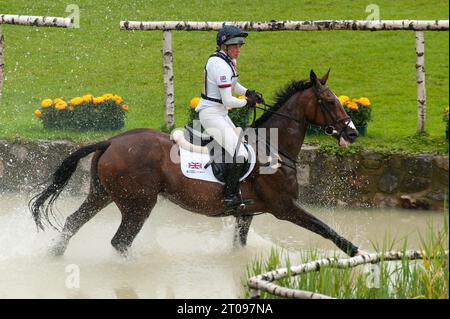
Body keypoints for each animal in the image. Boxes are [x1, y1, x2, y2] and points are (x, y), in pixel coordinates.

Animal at [28, 70, 364, 258]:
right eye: (330, 101)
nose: (352, 132)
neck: (274, 148)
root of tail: (111, 141)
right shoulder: (285, 207)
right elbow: (327, 230)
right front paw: (359, 254)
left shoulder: (247, 213)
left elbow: (239, 244)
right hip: (138, 204)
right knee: (119, 241)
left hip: (103, 194)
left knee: (73, 223)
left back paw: (52, 256)